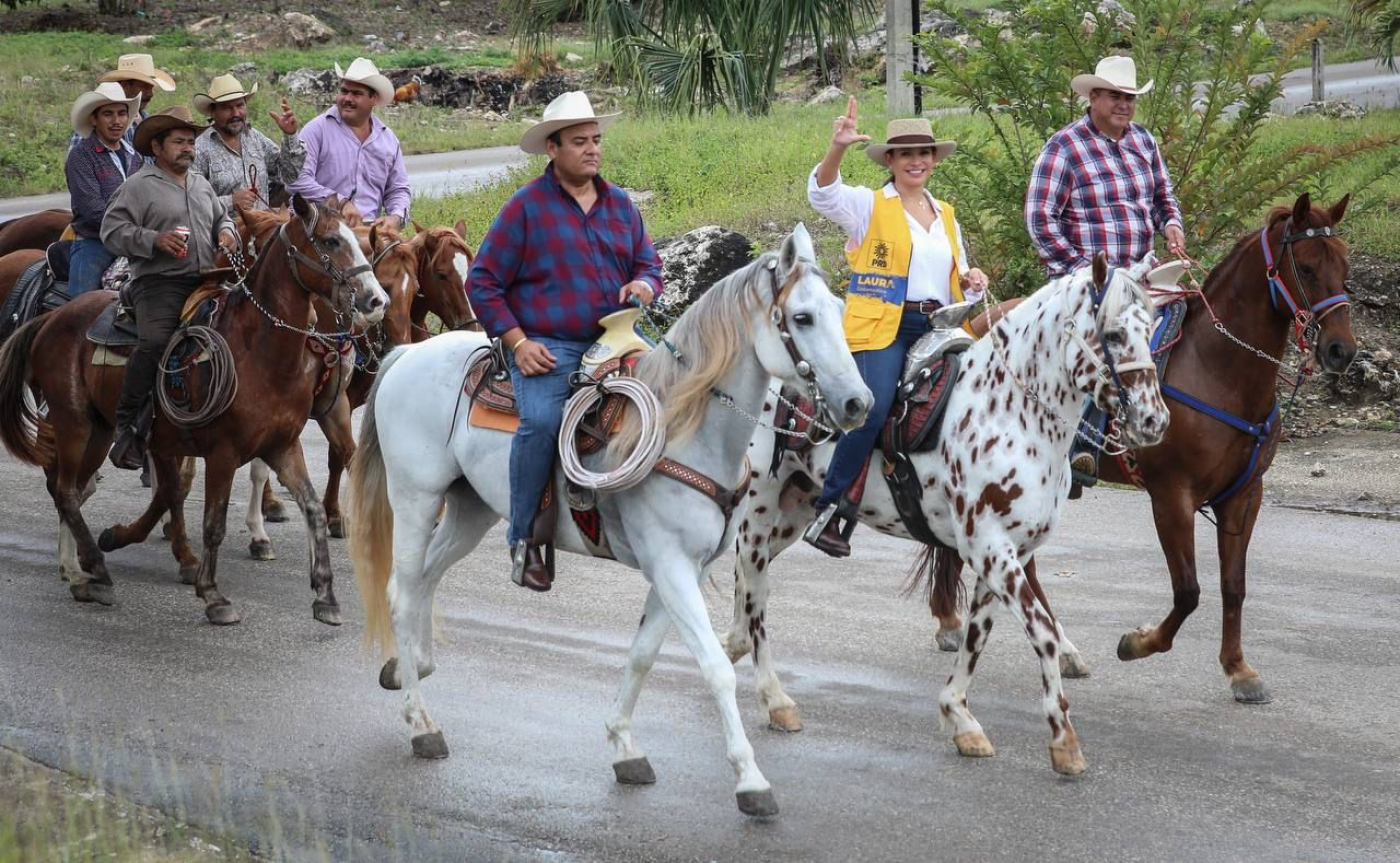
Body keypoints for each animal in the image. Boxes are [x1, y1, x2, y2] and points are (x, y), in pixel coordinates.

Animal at [0, 196, 389, 624]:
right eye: (331, 240)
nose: (376, 301)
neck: (257, 349)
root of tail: (49, 318)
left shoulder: (283, 446)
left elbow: (313, 508)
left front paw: (325, 595)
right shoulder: (221, 453)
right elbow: (212, 522)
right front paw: (213, 594)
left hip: (99, 431)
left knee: (72, 489)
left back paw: (78, 570)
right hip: (73, 424)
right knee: (67, 491)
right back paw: (94, 568)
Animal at [348, 224, 868, 818]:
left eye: (838, 308)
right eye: (802, 317)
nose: (858, 403)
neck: (687, 428)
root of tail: (407, 353)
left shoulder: (680, 571)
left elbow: (642, 655)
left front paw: (624, 745)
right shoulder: (671, 566)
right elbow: (715, 667)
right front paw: (751, 780)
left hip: (469, 510)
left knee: (425, 581)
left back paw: (412, 666)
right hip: (415, 497)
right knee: (402, 592)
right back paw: (421, 724)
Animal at [722, 252, 1170, 773]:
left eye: (1150, 326)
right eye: (1114, 334)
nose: (1154, 420)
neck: (1009, 413)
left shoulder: (1006, 552)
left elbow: (977, 636)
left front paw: (960, 719)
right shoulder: (991, 548)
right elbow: (1042, 633)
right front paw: (1063, 739)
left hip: (793, 511)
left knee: (746, 578)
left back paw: (732, 643)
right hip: (760, 506)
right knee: (756, 591)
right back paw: (775, 700)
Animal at [924, 196, 1349, 708]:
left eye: (1345, 266)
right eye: (1306, 268)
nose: (1341, 350)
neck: (1218, 369)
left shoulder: (1245, 495)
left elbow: (1233, 586)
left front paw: (1239, 669)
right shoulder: (1171, 497)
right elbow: (1188, 591)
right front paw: (1139, 643)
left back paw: (1054, 647)